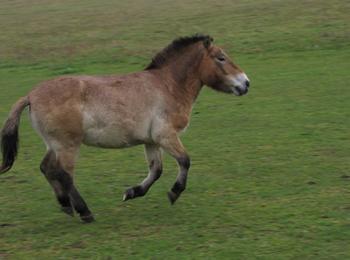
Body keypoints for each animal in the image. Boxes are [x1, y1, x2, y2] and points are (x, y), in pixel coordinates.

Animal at [0, 34, 249, 221]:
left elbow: (156, 170)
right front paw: (174, 193)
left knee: (47, 168)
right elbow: (185, 161)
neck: (168, 85)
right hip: (68, 145)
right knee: (64, 174)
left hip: (54, 145)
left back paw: (65, 205)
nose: (246, 83)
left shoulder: (151, 141)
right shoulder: (166, 136)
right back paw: (84, 212)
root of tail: (31, 95)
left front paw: (132, 192)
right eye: (221, 58)